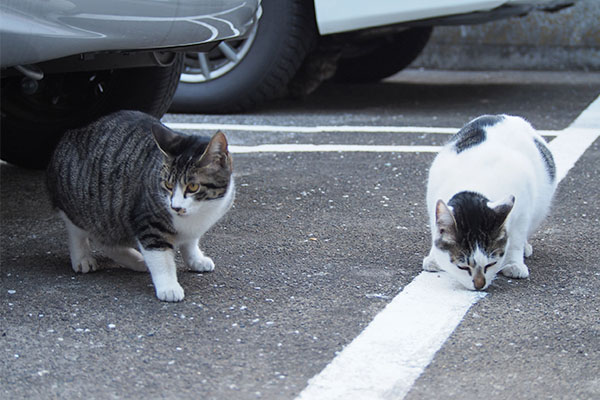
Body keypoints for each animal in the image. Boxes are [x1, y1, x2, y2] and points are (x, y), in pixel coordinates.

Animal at [46, 109, 234, 300]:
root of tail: (73, 132)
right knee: (77, 230)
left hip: (109, 217)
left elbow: (190, 243)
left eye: (193, 187)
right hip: (82, 203)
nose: (175, 207)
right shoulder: (149, 222)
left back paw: (135, 260)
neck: (198, 214)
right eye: (168, 185)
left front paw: (196, 259)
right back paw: (82, 257)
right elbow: (161, 259)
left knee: (106, 240)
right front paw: (169, 287)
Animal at [424, 115, 556, 290]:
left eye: (491, 264)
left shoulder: (523, 210)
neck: (474, 182)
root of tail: (506, 116)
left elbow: (516, 240)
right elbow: (436, 232)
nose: (479, 285)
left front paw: (514, 263)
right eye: (462, 267)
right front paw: (434, 257)